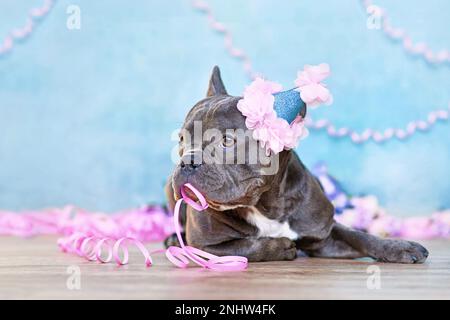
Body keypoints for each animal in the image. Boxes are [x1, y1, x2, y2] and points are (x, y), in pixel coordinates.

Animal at [164, 66, 428, 264]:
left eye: (227, 141)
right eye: (182, 140)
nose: (187, 161)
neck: (265, 205)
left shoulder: (324, 236)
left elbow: (357, 235)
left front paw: (397, 247)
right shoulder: (204, 246)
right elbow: (244, 246)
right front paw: (280, 246)